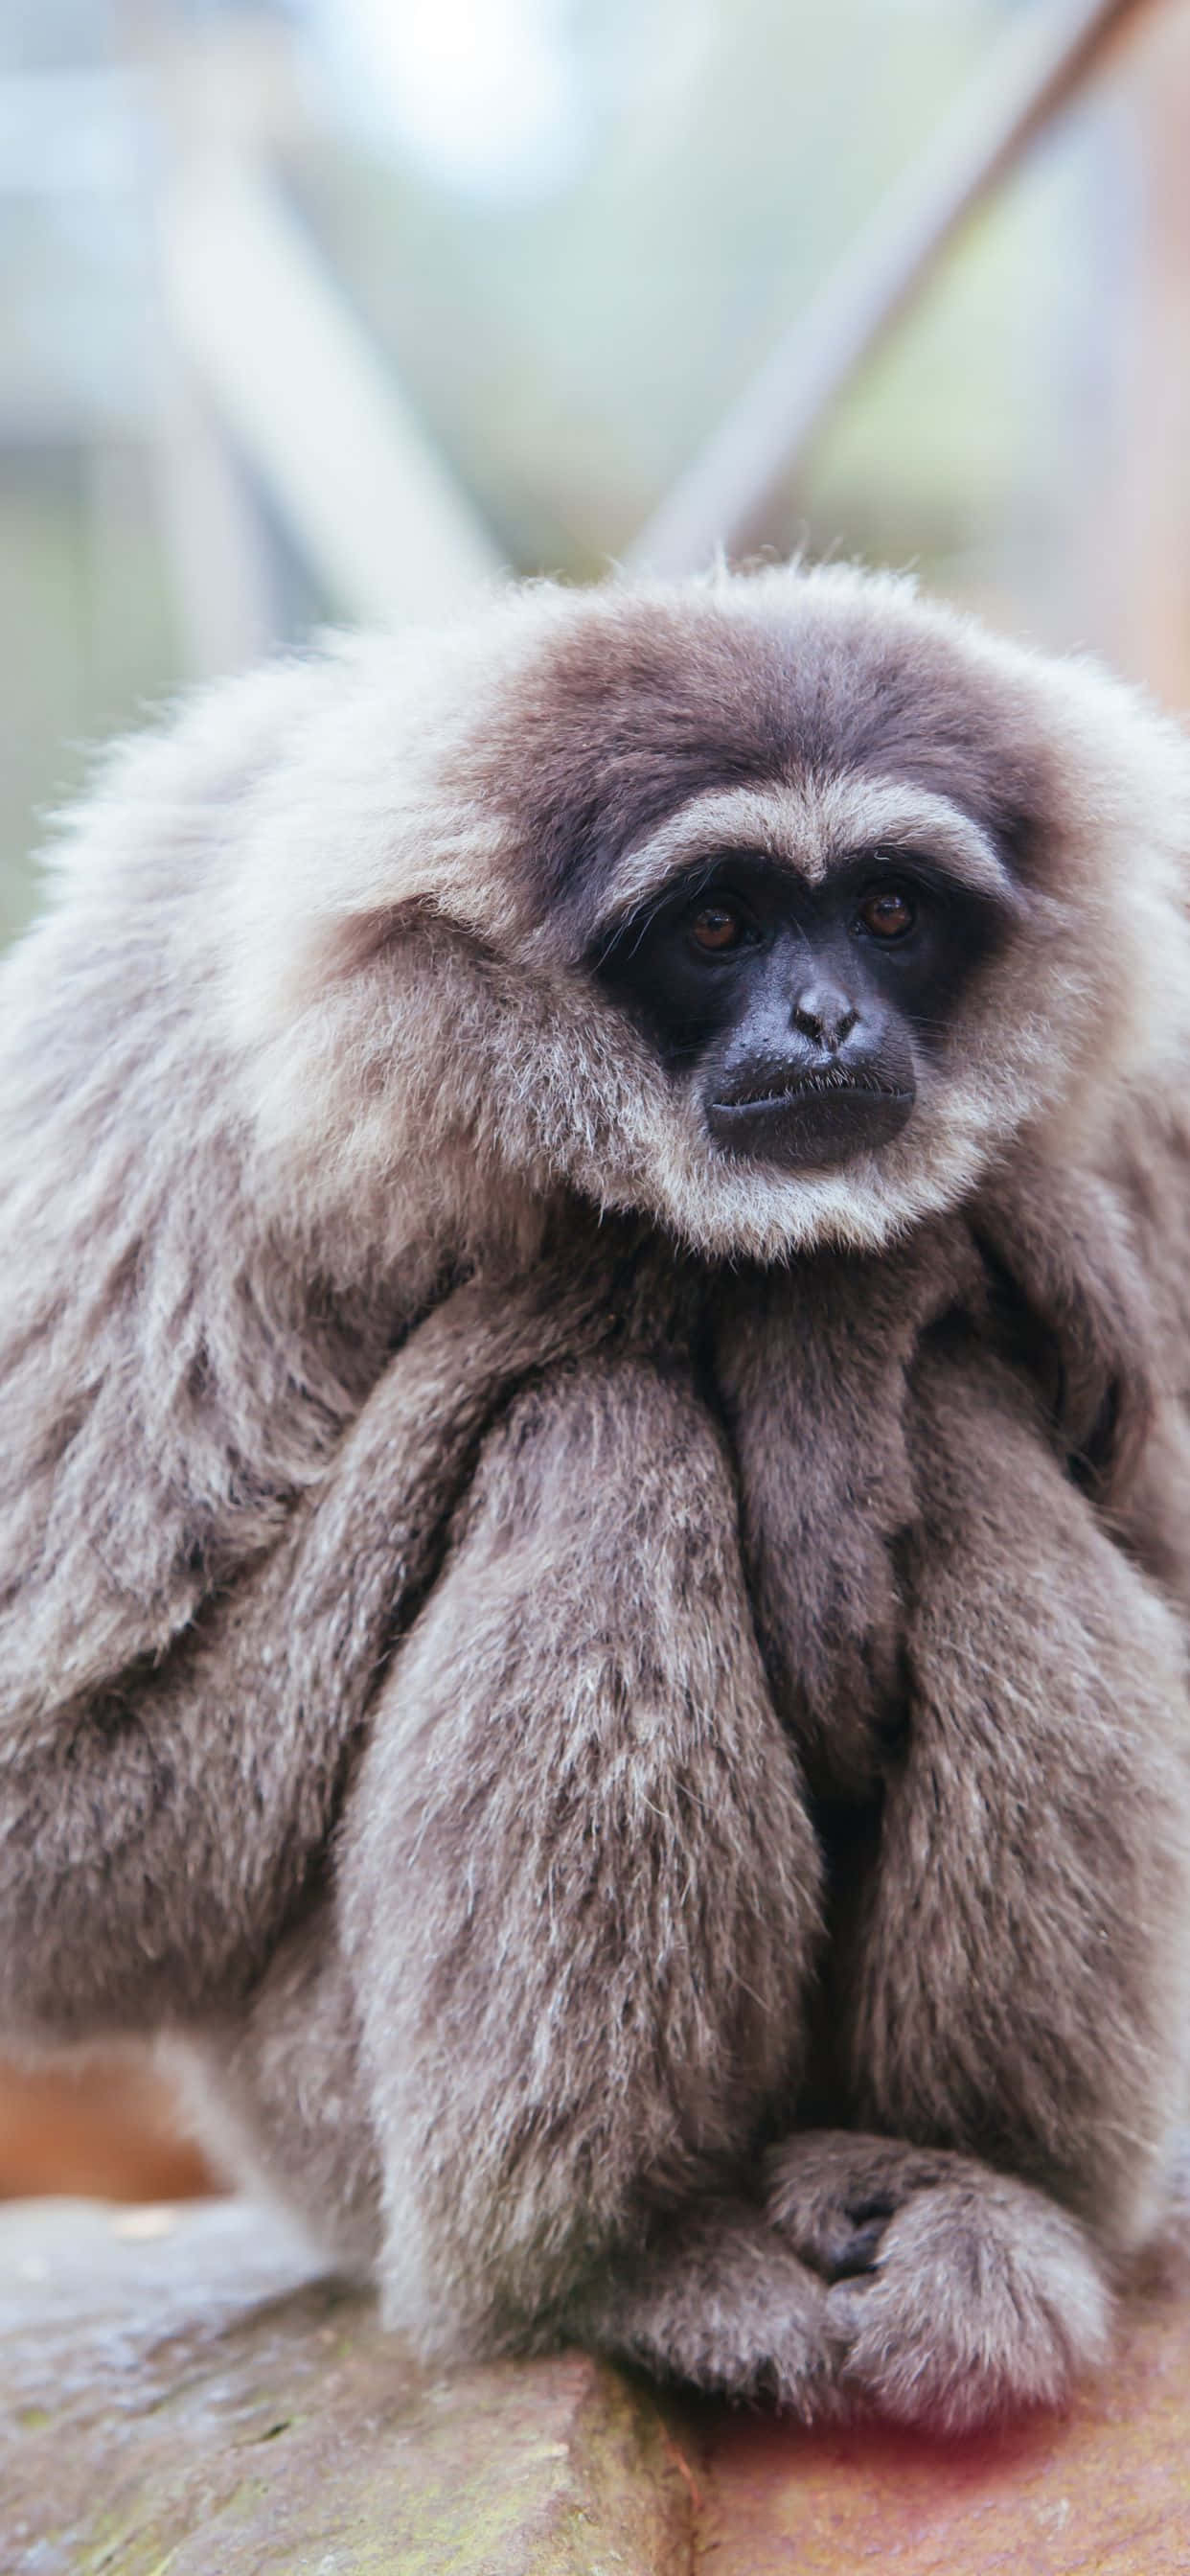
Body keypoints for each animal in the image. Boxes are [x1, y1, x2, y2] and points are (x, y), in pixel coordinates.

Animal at [2, 561, 1190, 2434]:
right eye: (715, 926)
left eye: (889, 913)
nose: (827, 1020)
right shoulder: (160, 1049)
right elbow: (56, 1831)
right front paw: (694, 1281)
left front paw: (861, 1298)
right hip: (326, 2137)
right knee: (601, 1431)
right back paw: (616, 2262)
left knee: (954, 1416)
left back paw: (956, 2182)